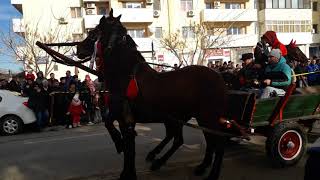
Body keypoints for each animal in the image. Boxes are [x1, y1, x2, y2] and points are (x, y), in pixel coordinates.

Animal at [76, 9, 229, 180]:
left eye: (94, 32)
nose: (78, 48)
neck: (127, 75)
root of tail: (219, 77)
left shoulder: (122, 117)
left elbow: (114, 130)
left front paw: (120, 148)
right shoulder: (123, 120)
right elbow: (128, 148)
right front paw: (126, 171)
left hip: (207, 117)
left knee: (218, 142)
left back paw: (211, 174)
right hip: (190, 117)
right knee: (195, 140)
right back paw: (195, 165)